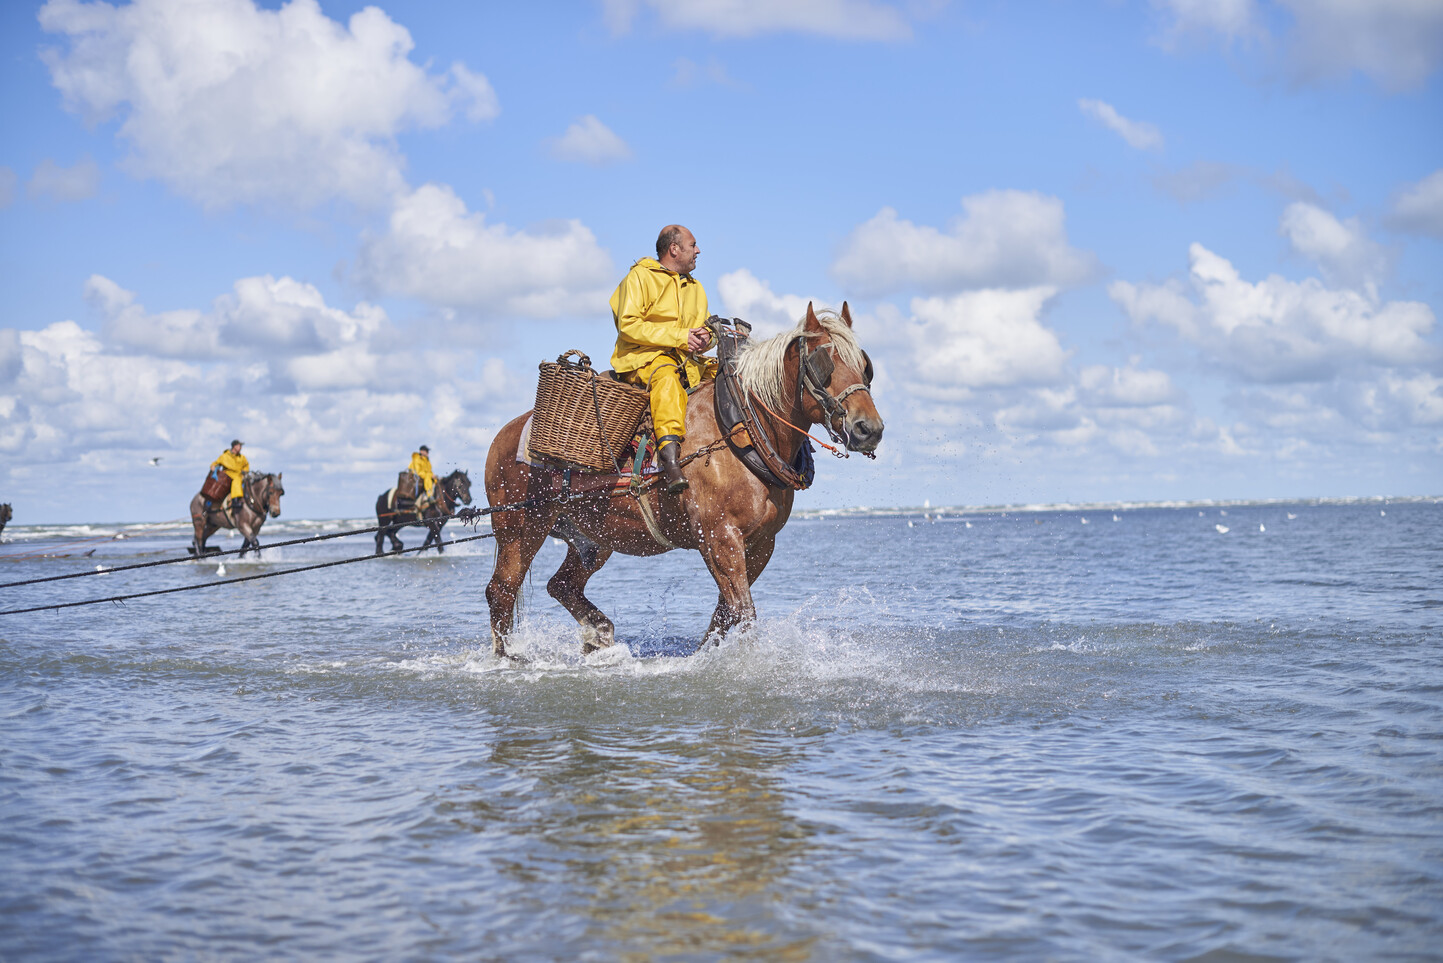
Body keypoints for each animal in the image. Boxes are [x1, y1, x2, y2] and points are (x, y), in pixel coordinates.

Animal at [484, 304, 883, 658]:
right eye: (824, 361)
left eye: (864, 365)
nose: (869, 428)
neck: (741, 427)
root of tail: (506, 433)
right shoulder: (718, 537)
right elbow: (743, 613)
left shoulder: (761, 544)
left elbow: (724, 615)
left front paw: (705, 655)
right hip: (521, 526)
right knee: (501, 590)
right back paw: (508, 657)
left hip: (594, 537)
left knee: (561, 585)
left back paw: (598, 635)